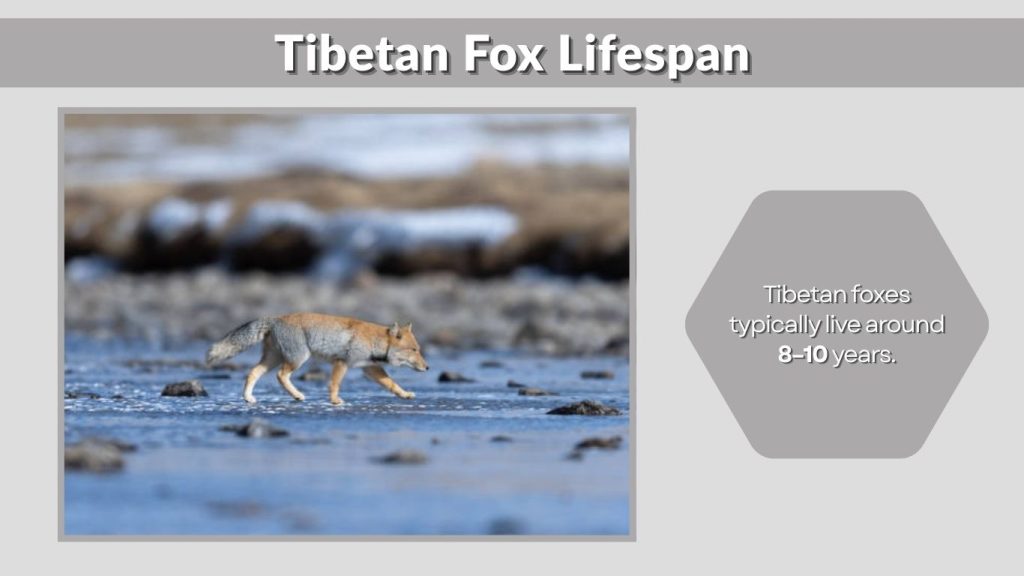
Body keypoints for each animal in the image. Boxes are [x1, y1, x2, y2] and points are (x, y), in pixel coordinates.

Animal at [206, 313, 429, 405]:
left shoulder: (369, 368)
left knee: (252, 372)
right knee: (280, 376)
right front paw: (335, 401)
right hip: (297, 359)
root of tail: (276, 318)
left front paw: (405, 394)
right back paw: (297, 395)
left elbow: (392, 384)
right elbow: (334, 384)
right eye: (414, 350)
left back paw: (248, 398)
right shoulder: (342, 362)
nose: (427, 368)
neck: (374, 340)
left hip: (272, 360)